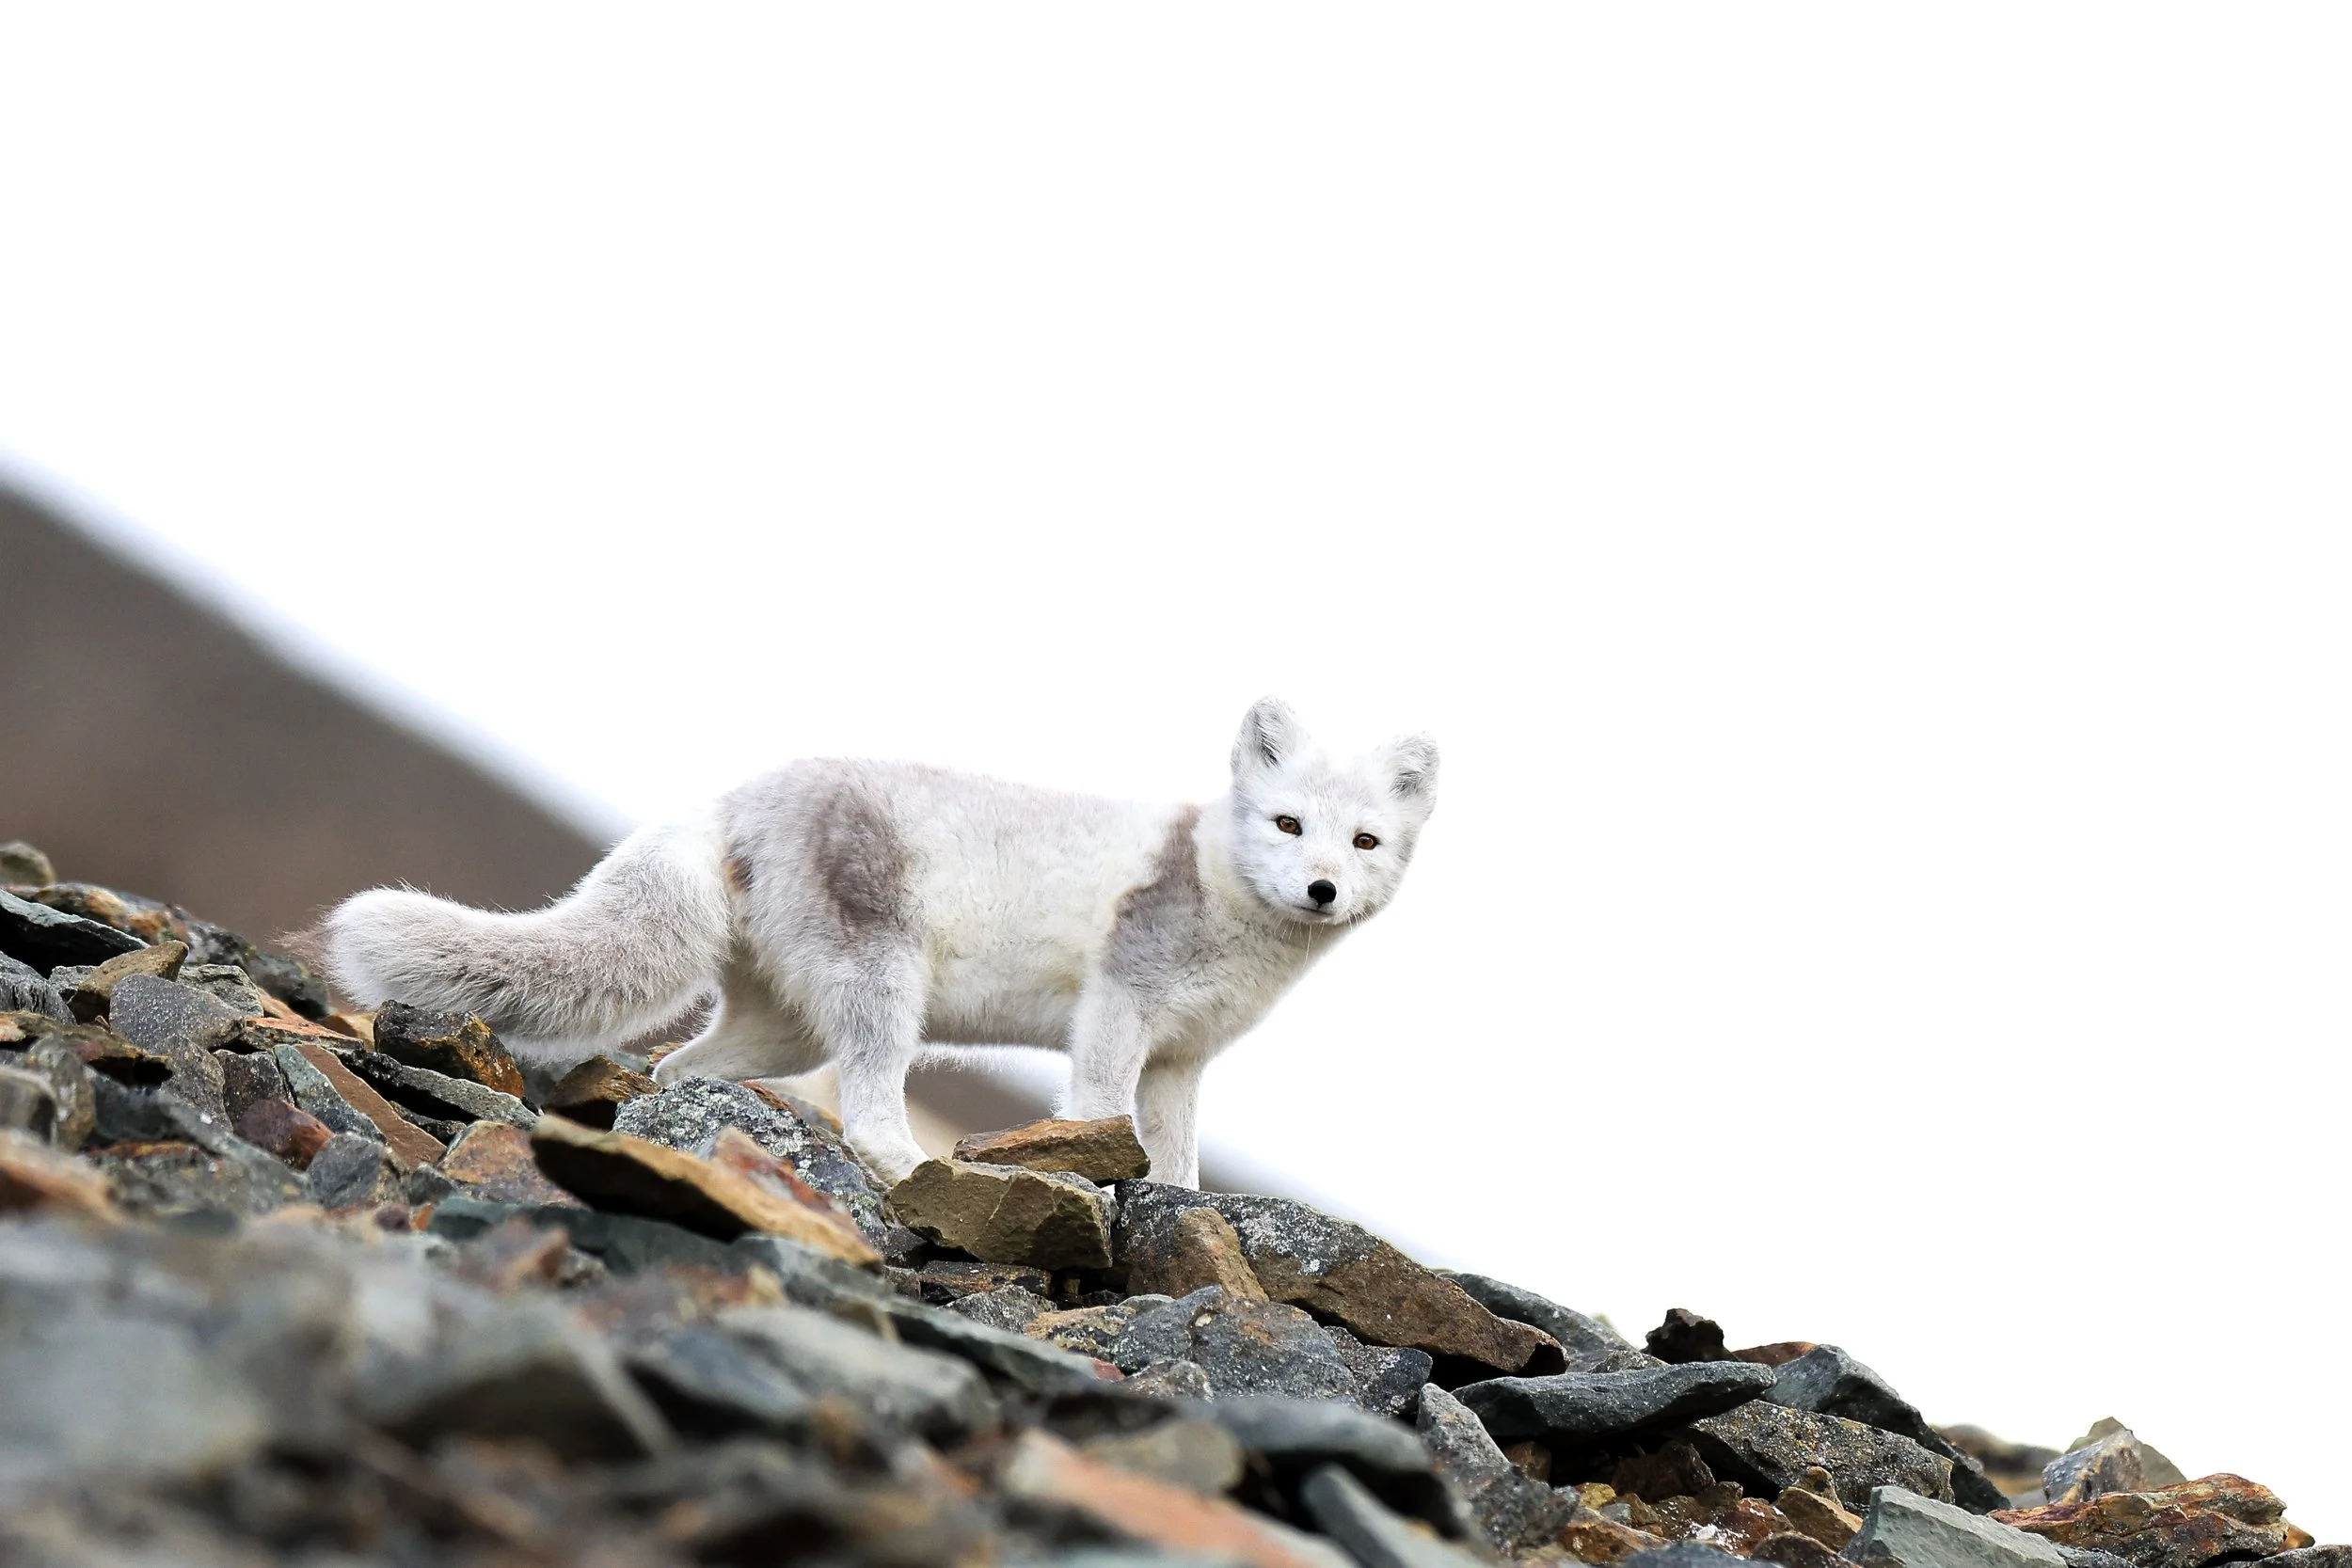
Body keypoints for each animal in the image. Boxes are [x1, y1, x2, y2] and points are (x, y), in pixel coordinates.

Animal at [314, 697, 1437, 1187]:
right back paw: (906, 1162)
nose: (1322, 887)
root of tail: (738, 796)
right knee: (862, 1103)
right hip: (880, 985)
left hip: (784, 1027)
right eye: (1288, 823)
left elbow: (1177, 1156)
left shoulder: (1183, 1059)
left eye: (1364, 840)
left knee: (679, 1065)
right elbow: (1099, 1108)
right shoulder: (1119, 1010)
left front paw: (1171, 1203)